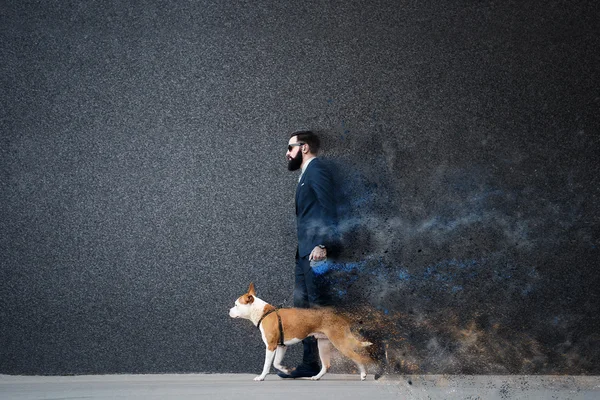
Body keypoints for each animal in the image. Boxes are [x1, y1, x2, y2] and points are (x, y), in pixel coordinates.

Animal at [227, 282, 378, 382]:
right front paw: (287, 370)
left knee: (357, 357)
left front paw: (261, 377)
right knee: (326, 365)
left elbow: (267, 364)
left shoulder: (270, 346)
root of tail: (340, 317)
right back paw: (316, 377)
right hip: (323, 344)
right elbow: (276, 363)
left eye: (236, 305)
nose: (229, 311)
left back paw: (363, 374)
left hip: (340, 342)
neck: (263, 313)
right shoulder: (281, 346)